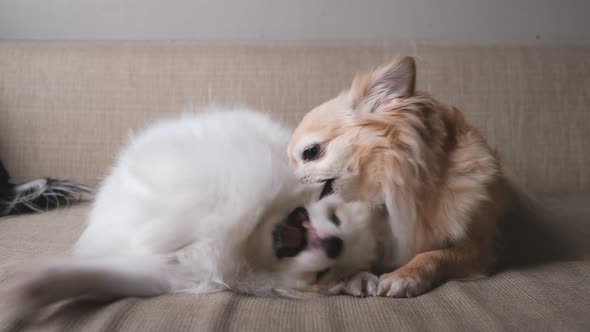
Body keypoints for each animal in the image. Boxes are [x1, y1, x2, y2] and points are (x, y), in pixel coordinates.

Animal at [3, 107, 394, 320]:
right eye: (336, 218)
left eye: (327, 273)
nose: (334, 244)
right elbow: (201, 203)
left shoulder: (167, 273)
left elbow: (88, 276)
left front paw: (29, 288)